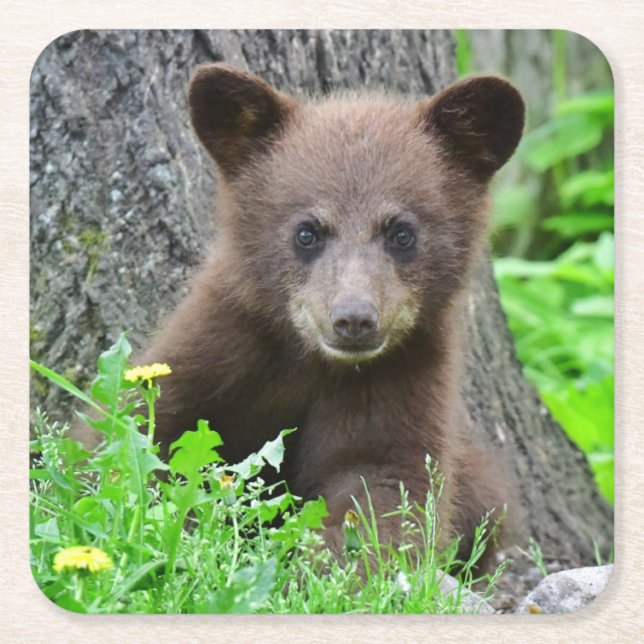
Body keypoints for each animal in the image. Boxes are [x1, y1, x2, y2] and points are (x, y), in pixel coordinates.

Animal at [136, 63, 525, 561]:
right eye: (307, 231)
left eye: (402, 232)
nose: (354, 318)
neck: (312, 361)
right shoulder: (220, 345)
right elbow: (149, 430)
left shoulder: (402, 377)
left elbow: (384, 486)